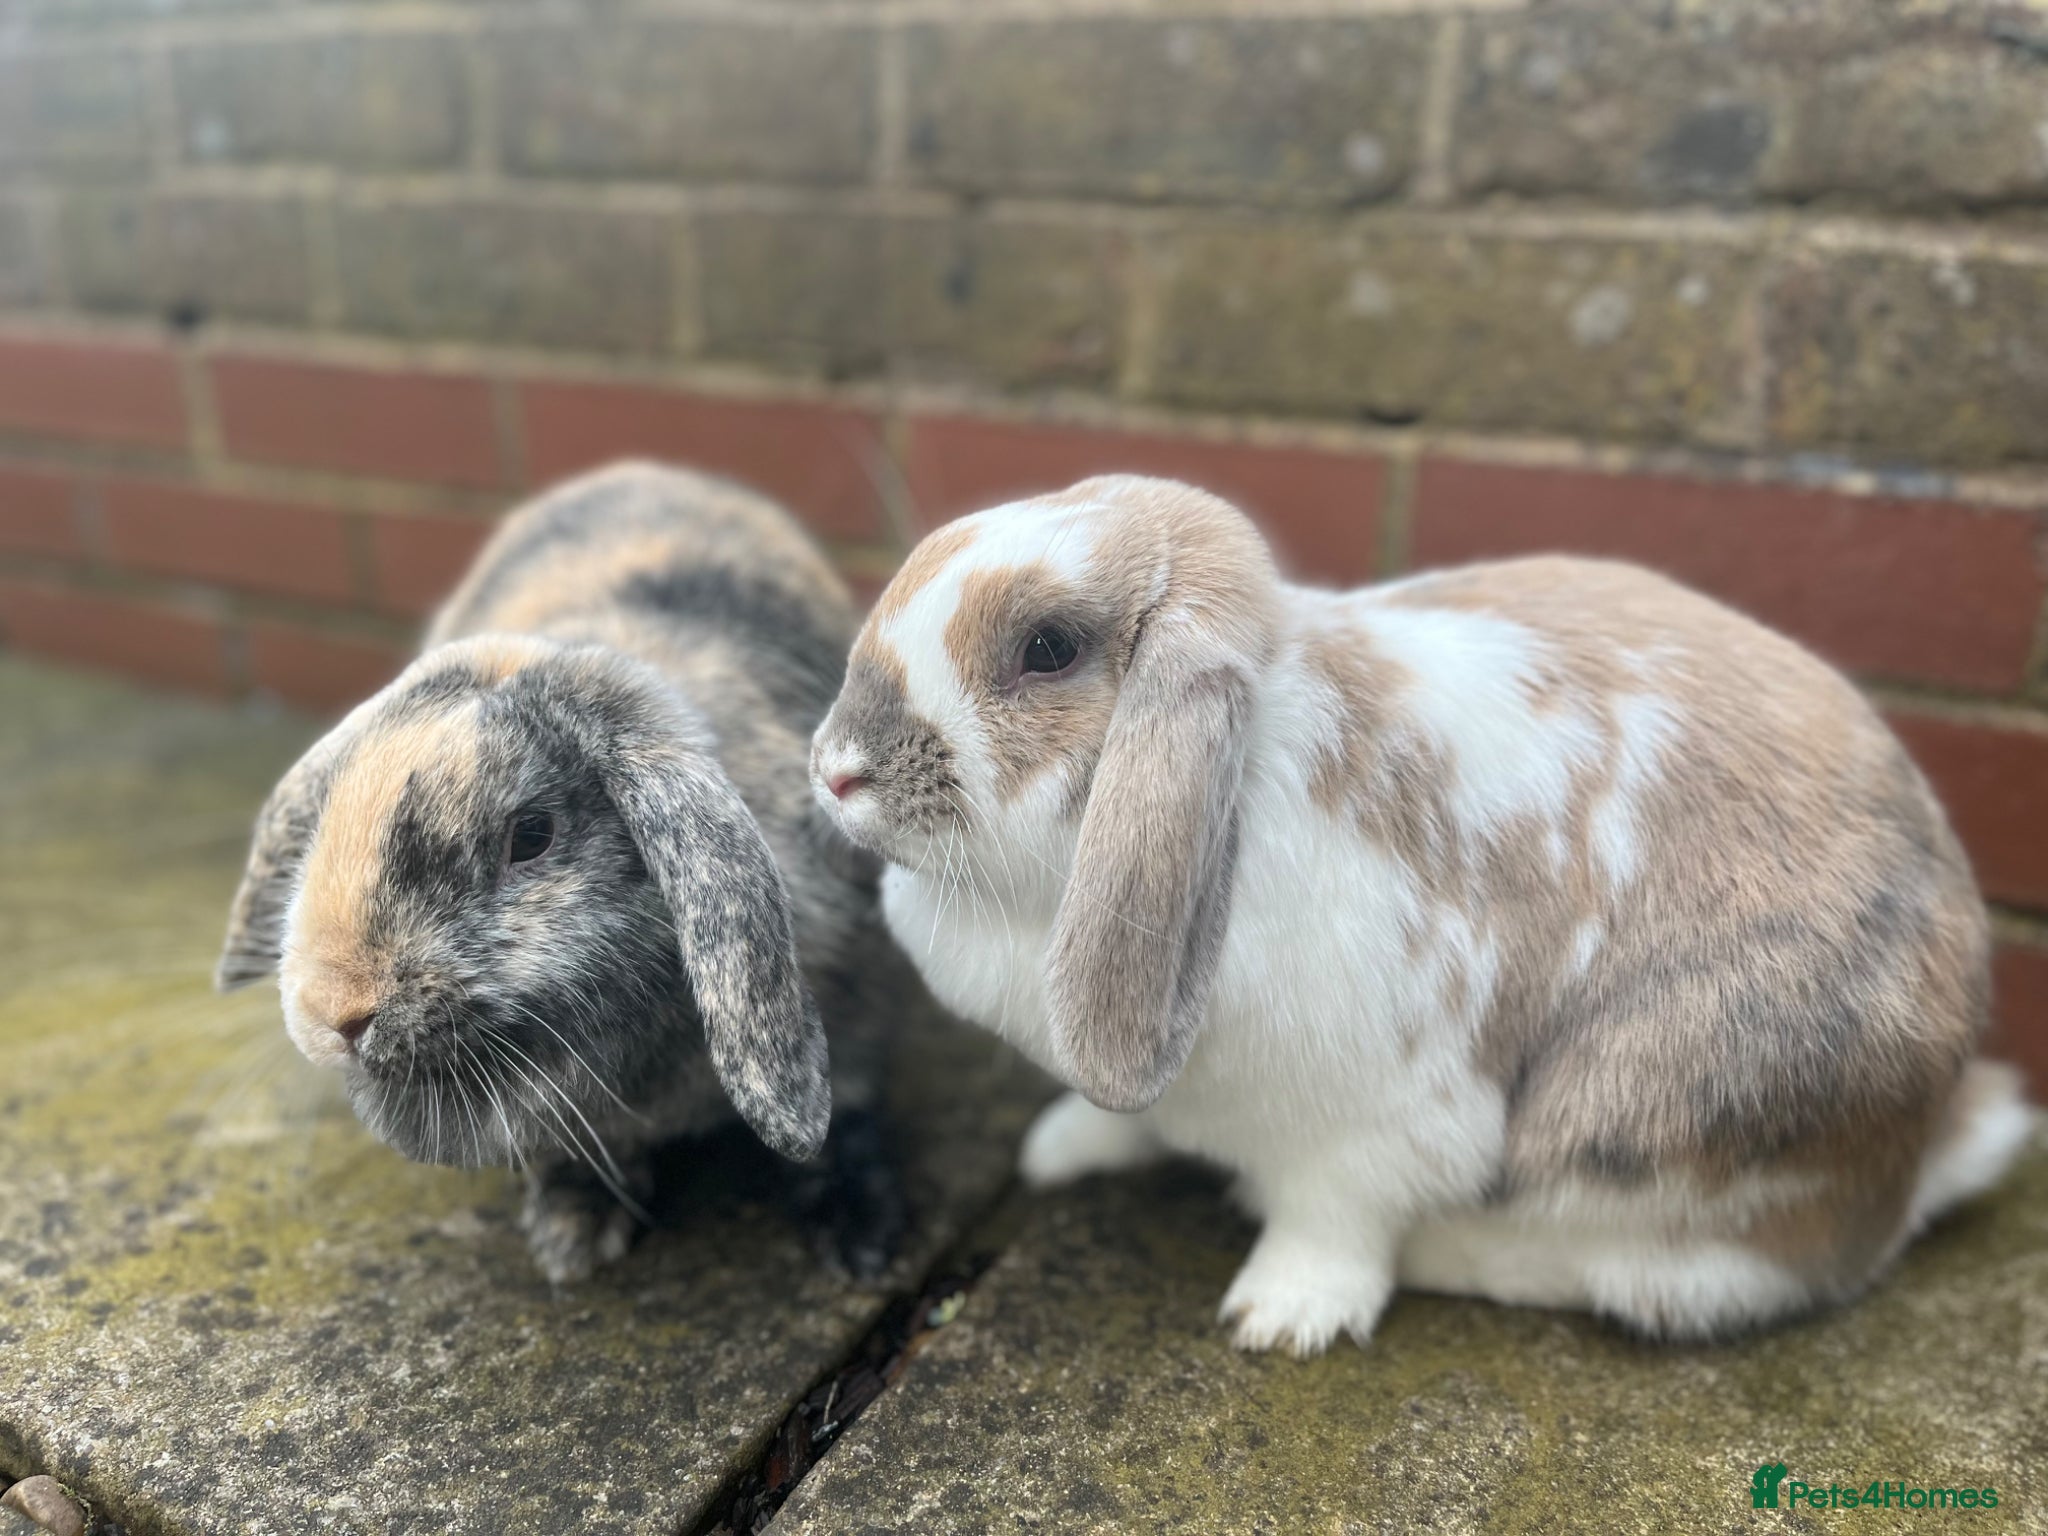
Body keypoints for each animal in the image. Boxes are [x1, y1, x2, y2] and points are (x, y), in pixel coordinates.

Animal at [218, 461, 906, 1285]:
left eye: (531, 836)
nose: (338, 1014)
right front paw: (572, 1238)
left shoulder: (861, 1007)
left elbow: (852, 1113)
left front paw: (863, 1239)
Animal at [808, 473, 2033, 1356]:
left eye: (1047, 649)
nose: (833, 770)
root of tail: (1930, 1141)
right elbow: (1131, 1116)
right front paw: (1061, 1151)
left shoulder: (1377, 1116)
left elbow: (1332, 1216)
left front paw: (1282, 1318)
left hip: (1662, 1114)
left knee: (1690, 1274)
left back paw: (1458, 1251)